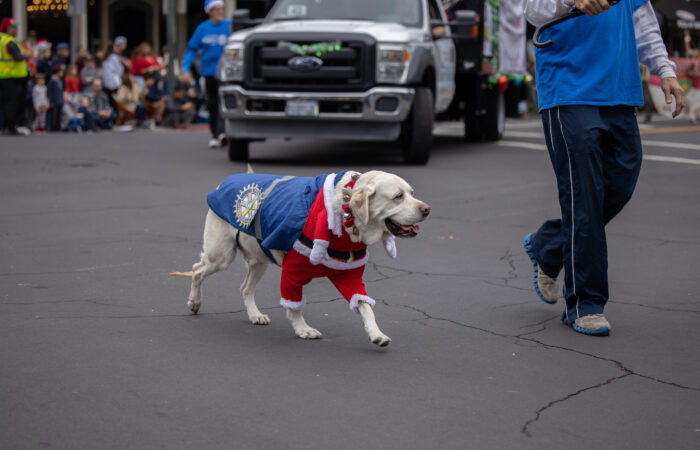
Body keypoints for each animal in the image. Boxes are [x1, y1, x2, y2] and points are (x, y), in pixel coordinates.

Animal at [187, 171, 426, 346]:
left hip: (259, 259)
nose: (427, 209)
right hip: (221, 256)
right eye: (398, 196)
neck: (346, 215)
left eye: (412, 193)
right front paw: (303, 329)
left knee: (245, 288)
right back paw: (194, 302)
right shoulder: (292, 272)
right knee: (197, 270)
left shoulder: (349, 277)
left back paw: (255, 315)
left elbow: (366, 307)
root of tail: (224, 182)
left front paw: (376, 334)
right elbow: (294, 306)